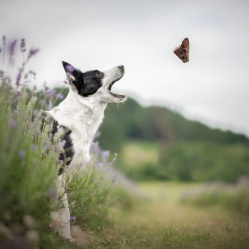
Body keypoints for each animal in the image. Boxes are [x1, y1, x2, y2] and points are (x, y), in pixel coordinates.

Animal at [45, 61, 125, 238]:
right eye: (97, 74)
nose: (122, 66)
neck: (81, 113)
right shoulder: (58, 171)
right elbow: (65, 212)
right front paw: (65, 237)